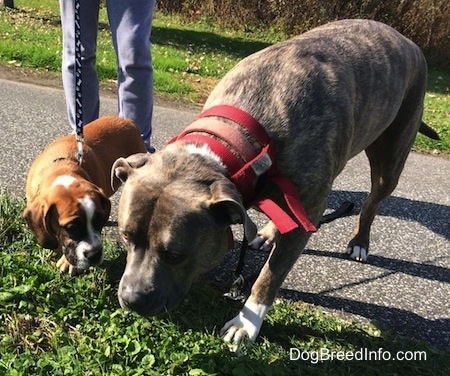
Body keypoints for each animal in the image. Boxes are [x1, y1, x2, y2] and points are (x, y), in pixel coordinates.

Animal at [23, 116, 147, 274]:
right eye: (72, 228)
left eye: (99, 220)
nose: (95, 255)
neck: (61, 170)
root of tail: (127, 120)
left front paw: (68, 262)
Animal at [110, 19, 438, 344]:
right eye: (125, 237)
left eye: (175, 254)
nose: (131, 299)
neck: (238, 141)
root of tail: (405, 40)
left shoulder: (307, 216)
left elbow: (271, 275)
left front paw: (246, 323)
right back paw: (268, 232)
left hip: (394, 152)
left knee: (373, 200)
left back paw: (359, 242)